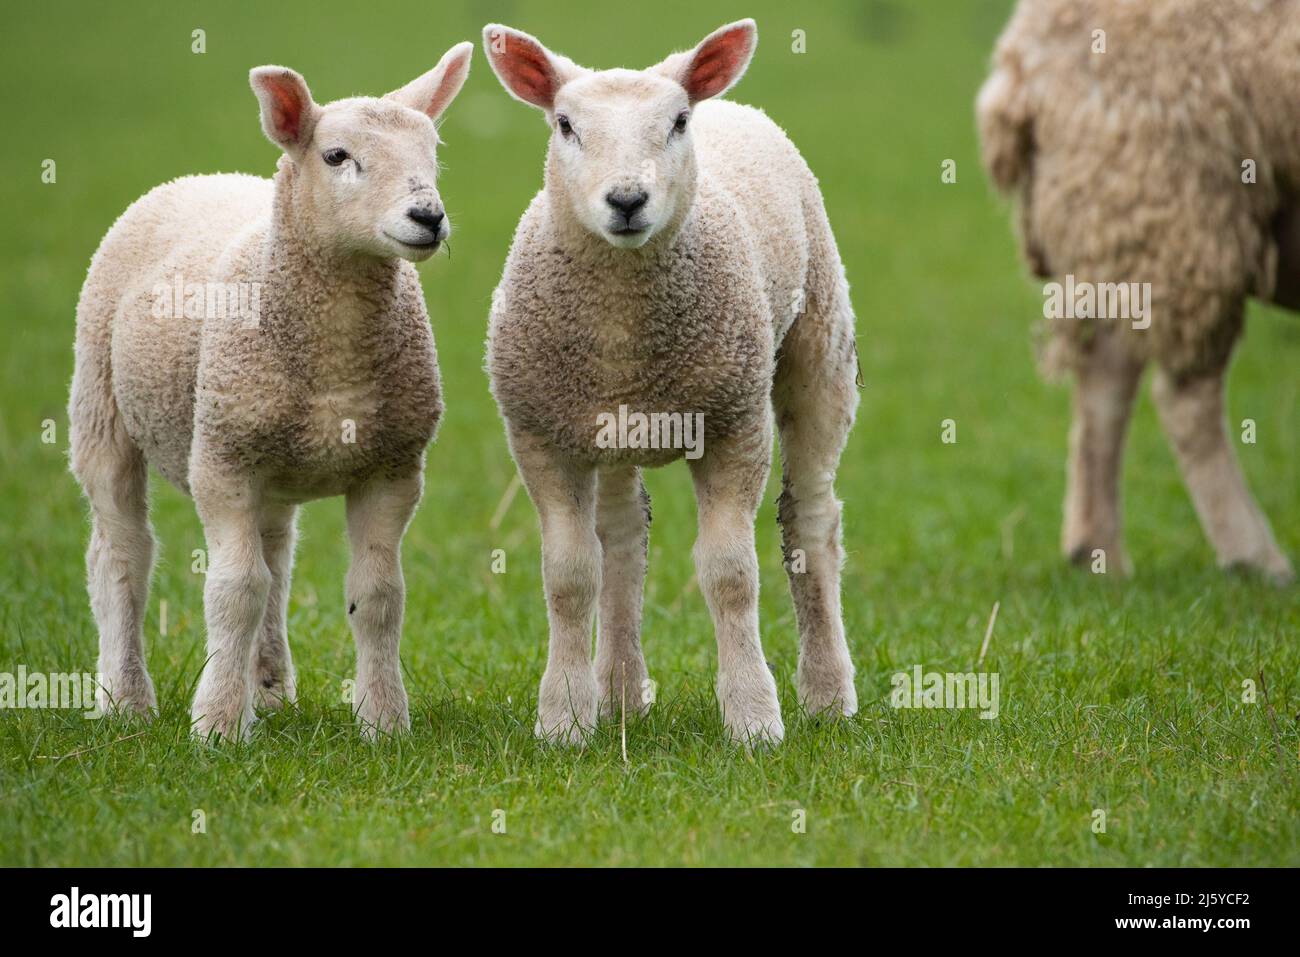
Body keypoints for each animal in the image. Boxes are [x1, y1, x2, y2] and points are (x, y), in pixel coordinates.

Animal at [68, 44, 475, 738]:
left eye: (432, 153)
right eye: (336, 156)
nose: (428, 217)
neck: (337, 356)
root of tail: (203, 176)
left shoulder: (393, 469)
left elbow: (379, 595)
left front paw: (383, 722)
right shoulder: (222, 463)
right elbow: (234, 592)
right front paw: (217, 725)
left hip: (273, 455)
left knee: (276, 559)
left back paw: (270, 688)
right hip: (102, 404)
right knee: (121, 555)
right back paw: (126, 700)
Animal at [483, 18, 857, 743]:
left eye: (678, 121)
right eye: (565, 124)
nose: (627, 200)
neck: (623, 329)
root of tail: (735, 106)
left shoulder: (734, 422)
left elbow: (730, 573)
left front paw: (754, 718)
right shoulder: (541, 435)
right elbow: (570, 575)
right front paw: (564, 719)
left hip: (820, 341)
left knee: (811, 519)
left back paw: (829, 692)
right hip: (607, 427)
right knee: (624, 535)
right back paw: (620, 692)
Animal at [977, 0, 1294, 582]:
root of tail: (1018, 56)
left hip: (1123, 217)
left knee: (1105, 376)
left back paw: (1095, 550)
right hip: (1172, 197)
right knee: (1182, 396)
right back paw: (1257, 559)